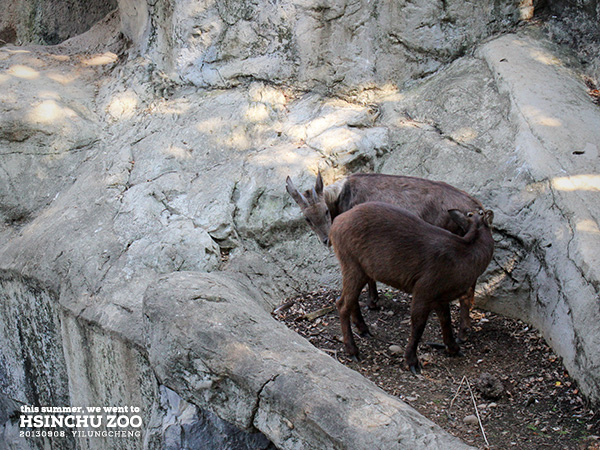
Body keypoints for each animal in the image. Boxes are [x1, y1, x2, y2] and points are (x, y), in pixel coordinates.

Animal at [286, 172, 492, 342]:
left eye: (326, 211)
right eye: (307, 219)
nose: (327, 240)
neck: (341, 198)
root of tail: (475, 206)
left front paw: (371, 304)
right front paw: (373, 302)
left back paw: (462, 333)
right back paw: (465, 329)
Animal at [330, 202, 494, 374]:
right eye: (478, 213)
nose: (485, 211)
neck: (464, 255)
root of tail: (336, 223)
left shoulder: (440, 297)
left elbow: (446, 321)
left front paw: (454, 349)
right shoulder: (424, 289)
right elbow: (418, 325)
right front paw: (412, 362)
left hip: (360, 270)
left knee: (349, 300)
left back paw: (364, 330)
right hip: (352, 265)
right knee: (342, 304)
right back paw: (353, 350)